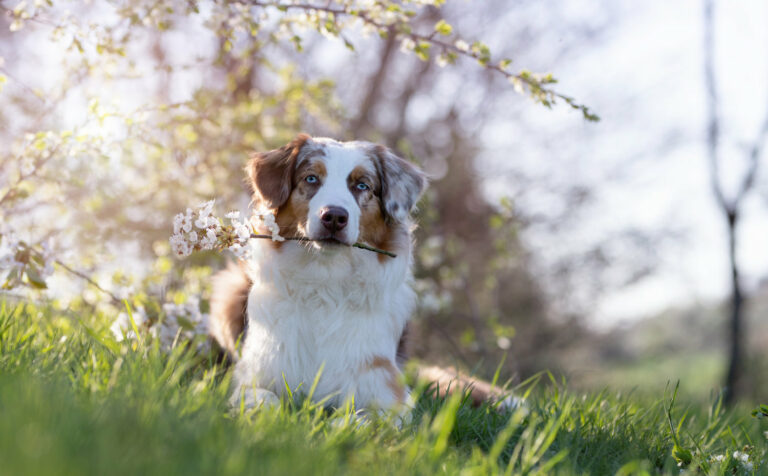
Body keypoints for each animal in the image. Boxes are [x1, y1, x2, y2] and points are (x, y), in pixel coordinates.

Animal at [210, 134, 510, 412]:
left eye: (362, 185)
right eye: (311, 179)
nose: (334, 216)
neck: (325, 282)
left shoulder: (389, 391)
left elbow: (363, 418)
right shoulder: (253, 377)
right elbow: (265, 401)